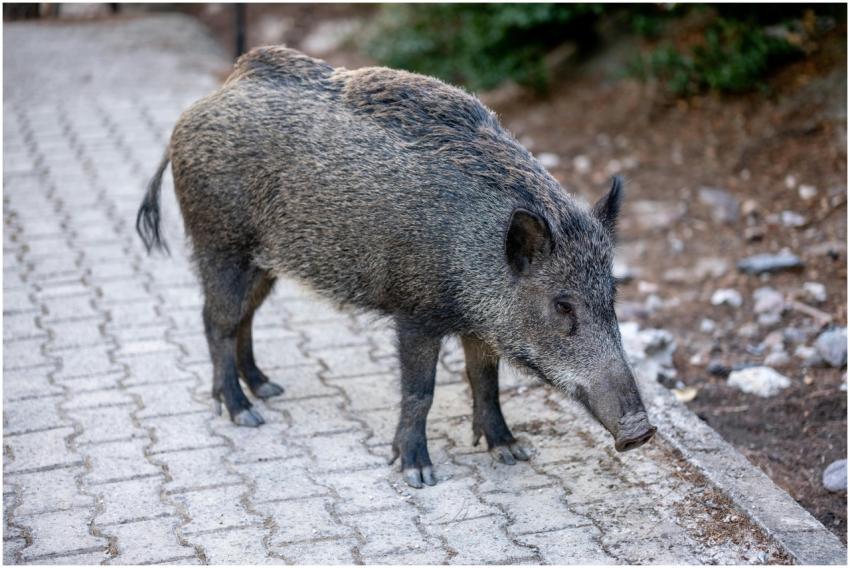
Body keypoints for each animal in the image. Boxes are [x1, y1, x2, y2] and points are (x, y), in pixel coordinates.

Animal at [136, 46, 656, 488]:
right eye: (562, 304)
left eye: (612, 298)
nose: (641, 431)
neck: (474, 256)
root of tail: (201, 104)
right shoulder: (416, 314)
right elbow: (420, 390)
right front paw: (418, 473)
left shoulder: (481, 327)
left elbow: (485, 383)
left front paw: (510, 451)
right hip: (219, 242)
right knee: (216, 320)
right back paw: (244, 412)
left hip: (264, 262)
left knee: (245, 316)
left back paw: (267, 388)